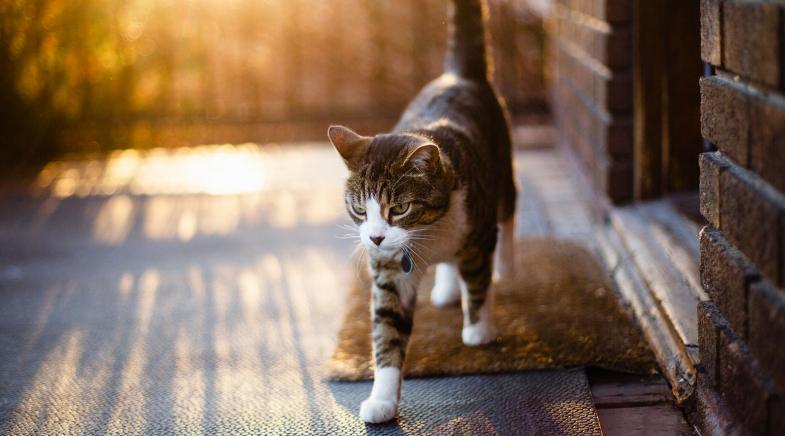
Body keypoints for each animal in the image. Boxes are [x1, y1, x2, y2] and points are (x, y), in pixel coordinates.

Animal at [326, 0, 516, 422]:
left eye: (399, 208)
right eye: (359, 209)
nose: (376, 236)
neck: (426, 234)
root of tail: (459, 75)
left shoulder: (476, 230)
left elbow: (478, 280)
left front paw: (479, 329)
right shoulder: (388, 271)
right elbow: (387, 330)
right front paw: (382, 399)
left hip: (503, 170)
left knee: (508, 217)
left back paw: (503, 270)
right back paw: (445, 288)